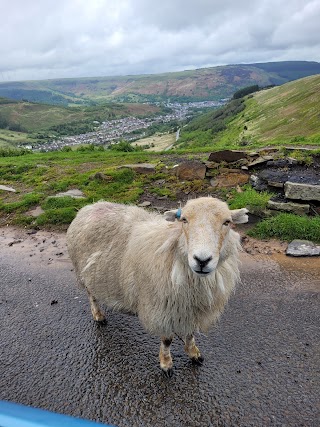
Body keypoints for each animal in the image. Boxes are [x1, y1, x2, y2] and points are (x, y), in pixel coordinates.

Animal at [66, 197, 249, 378]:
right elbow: (167, 340)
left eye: (227, 222)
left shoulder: (190, 309)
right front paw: (166, 364)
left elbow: (190, 333)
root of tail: (91, 206)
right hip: (85, 273)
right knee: (91, 295)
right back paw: (98, 315)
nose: (202, 260)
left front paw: (194, 353)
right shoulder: (162, 308)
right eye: (184, 220)